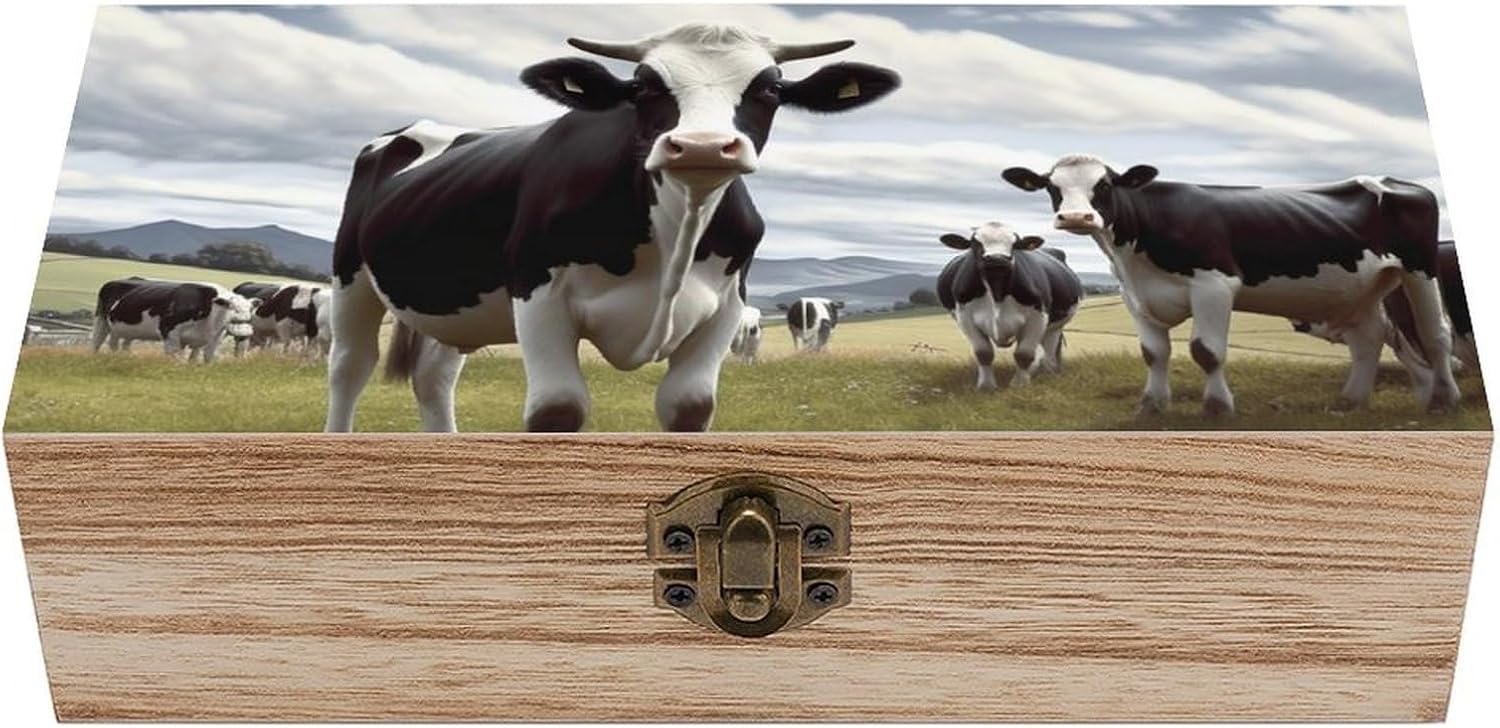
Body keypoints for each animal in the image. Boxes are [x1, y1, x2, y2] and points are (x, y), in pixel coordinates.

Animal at [94, 279, 256, 362]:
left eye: (250, 310)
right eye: (231, 307)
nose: (244, 333)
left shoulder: (213, 337)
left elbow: (204, 357)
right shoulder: (169, 330)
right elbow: (176, 357)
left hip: (123, 329)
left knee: (118, 343)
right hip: (101, 320)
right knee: (97, 342)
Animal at [324, 23, 900, 432]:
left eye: (771, 89)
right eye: (644, 86)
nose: (703, 146)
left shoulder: (727, 306)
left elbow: (689, 406)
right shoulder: (538, 293)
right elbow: (557, 409)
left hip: (453, 304)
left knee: (434, 379)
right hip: (350, 279)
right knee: (350, 369)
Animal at [937, 222, 1082, 389]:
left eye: (1015, 244)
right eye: (975, 243)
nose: (997, 258)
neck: (997, 293)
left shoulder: (1038, 317)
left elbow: (1024, 354)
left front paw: (1020, 384)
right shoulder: (964, 317)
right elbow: (983, 353)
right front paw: (986, 385)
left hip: (1055, 326)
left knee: (1050, 351)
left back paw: (1050, 372)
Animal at [1002, 155, 1457, 417]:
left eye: (1105, 184)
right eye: (1051, 186)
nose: (1076, 218)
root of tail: (1397, 181)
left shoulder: (1214, 285)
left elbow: (1206, 351)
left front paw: (1218, 407)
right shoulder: (1136, 297)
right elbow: (1154, 353)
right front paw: (1152, 406)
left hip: (1419, 269)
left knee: (1435, 335)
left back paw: (1442, 400)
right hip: (1362, 287)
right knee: (1370, 339)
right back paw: (1351, 401)